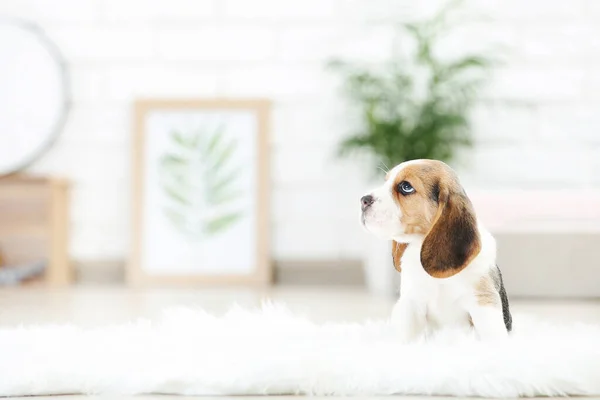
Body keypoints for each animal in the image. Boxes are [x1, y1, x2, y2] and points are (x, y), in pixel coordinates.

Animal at [360, 159, 510, 340]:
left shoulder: (483, 302)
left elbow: (492, 336)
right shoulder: (411, 303)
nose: (363, 200)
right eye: (385, 181)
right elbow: (406, 336)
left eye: (406, 186)